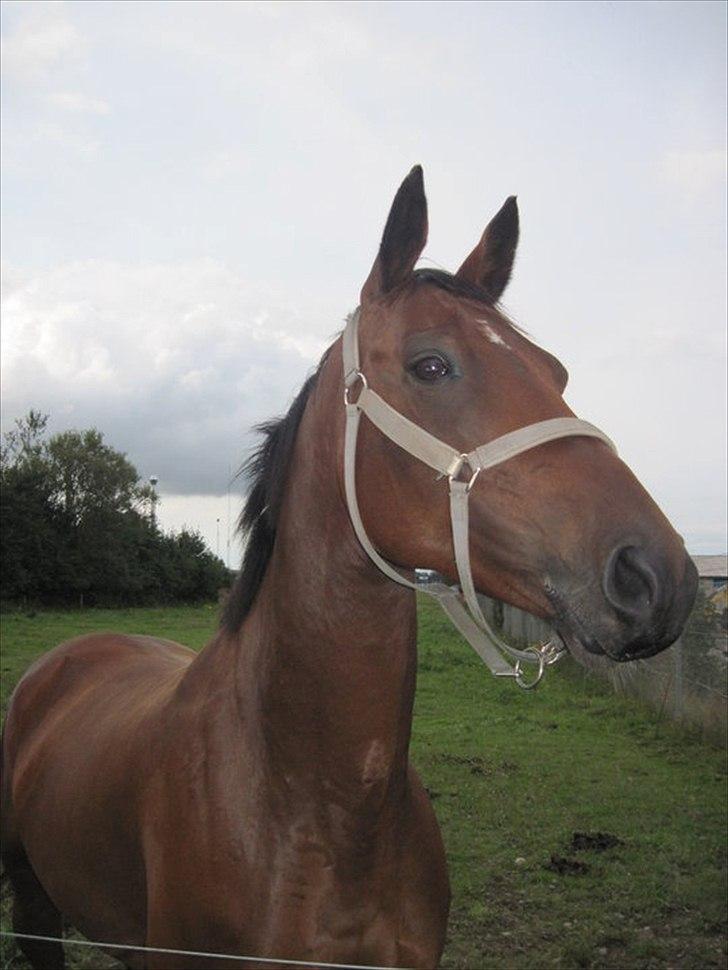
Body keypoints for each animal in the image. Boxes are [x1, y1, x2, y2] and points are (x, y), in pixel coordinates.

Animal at [1, 166, 698, 970]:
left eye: (556, 371)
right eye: (431, 365)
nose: (659, 576)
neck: (324, 815)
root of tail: (66, 656)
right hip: (33, 901)